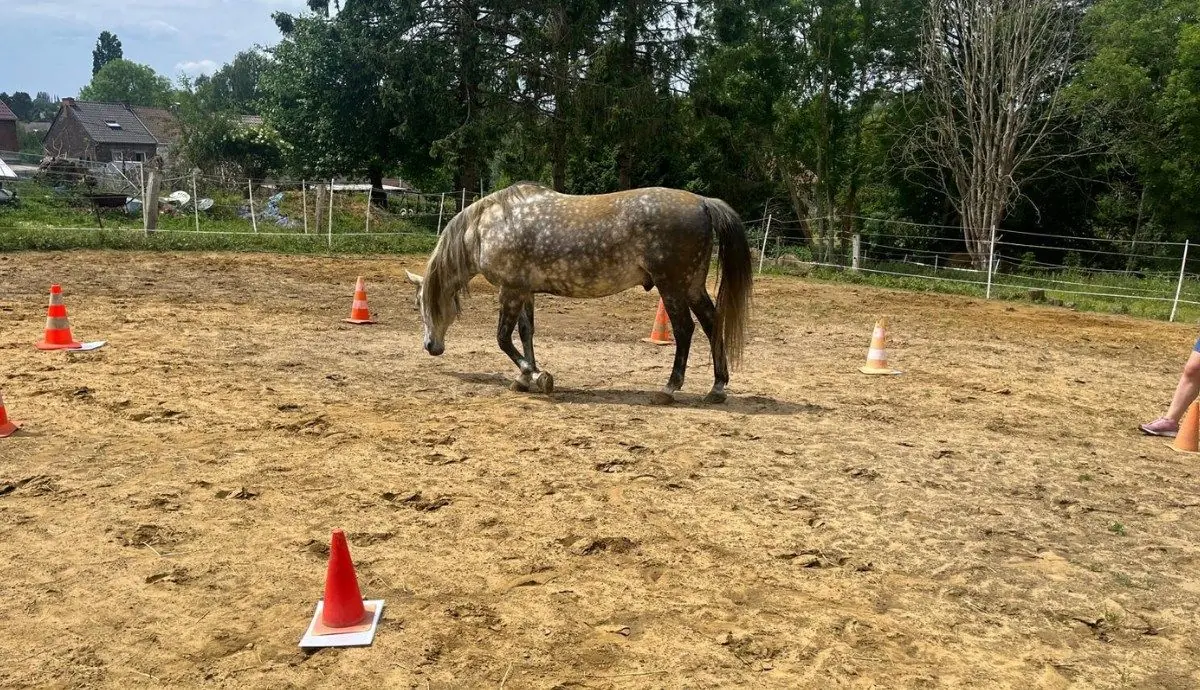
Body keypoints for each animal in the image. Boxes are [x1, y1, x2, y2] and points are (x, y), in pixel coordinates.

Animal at [405, 182, 753, 405]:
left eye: (421, 304)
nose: (430, 347)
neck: (486, 229)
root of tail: (703, 202)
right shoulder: (525, 291)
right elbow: (527, 333)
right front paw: (527, 379)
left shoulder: (511, 290)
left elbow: (503, 339)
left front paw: (534, 374)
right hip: (692, 286)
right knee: (712, 324)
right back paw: (717, 388)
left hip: (672, 287)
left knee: (685, 331)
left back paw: (669, 389)